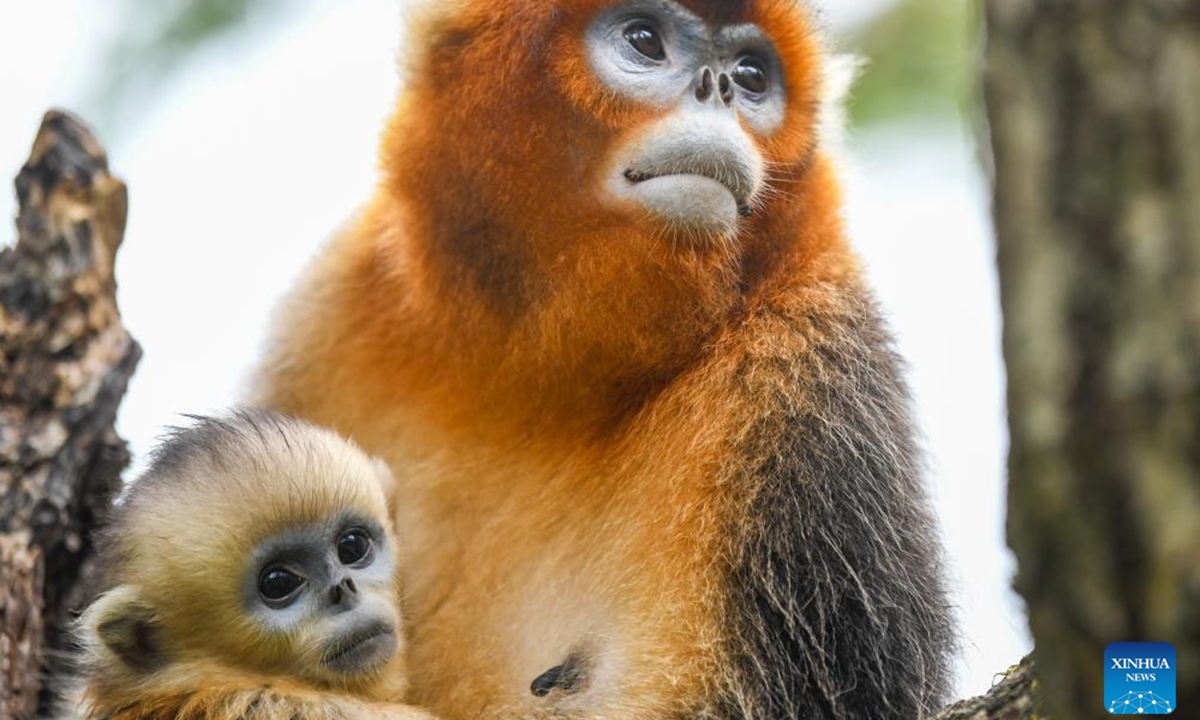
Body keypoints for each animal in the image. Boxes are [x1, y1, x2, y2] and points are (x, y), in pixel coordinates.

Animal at [253, 1, 955, 715]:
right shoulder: (329, 309)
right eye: (644, 40)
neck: (542, 385)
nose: (719, 88)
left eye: (753, 76)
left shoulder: (808, 374)